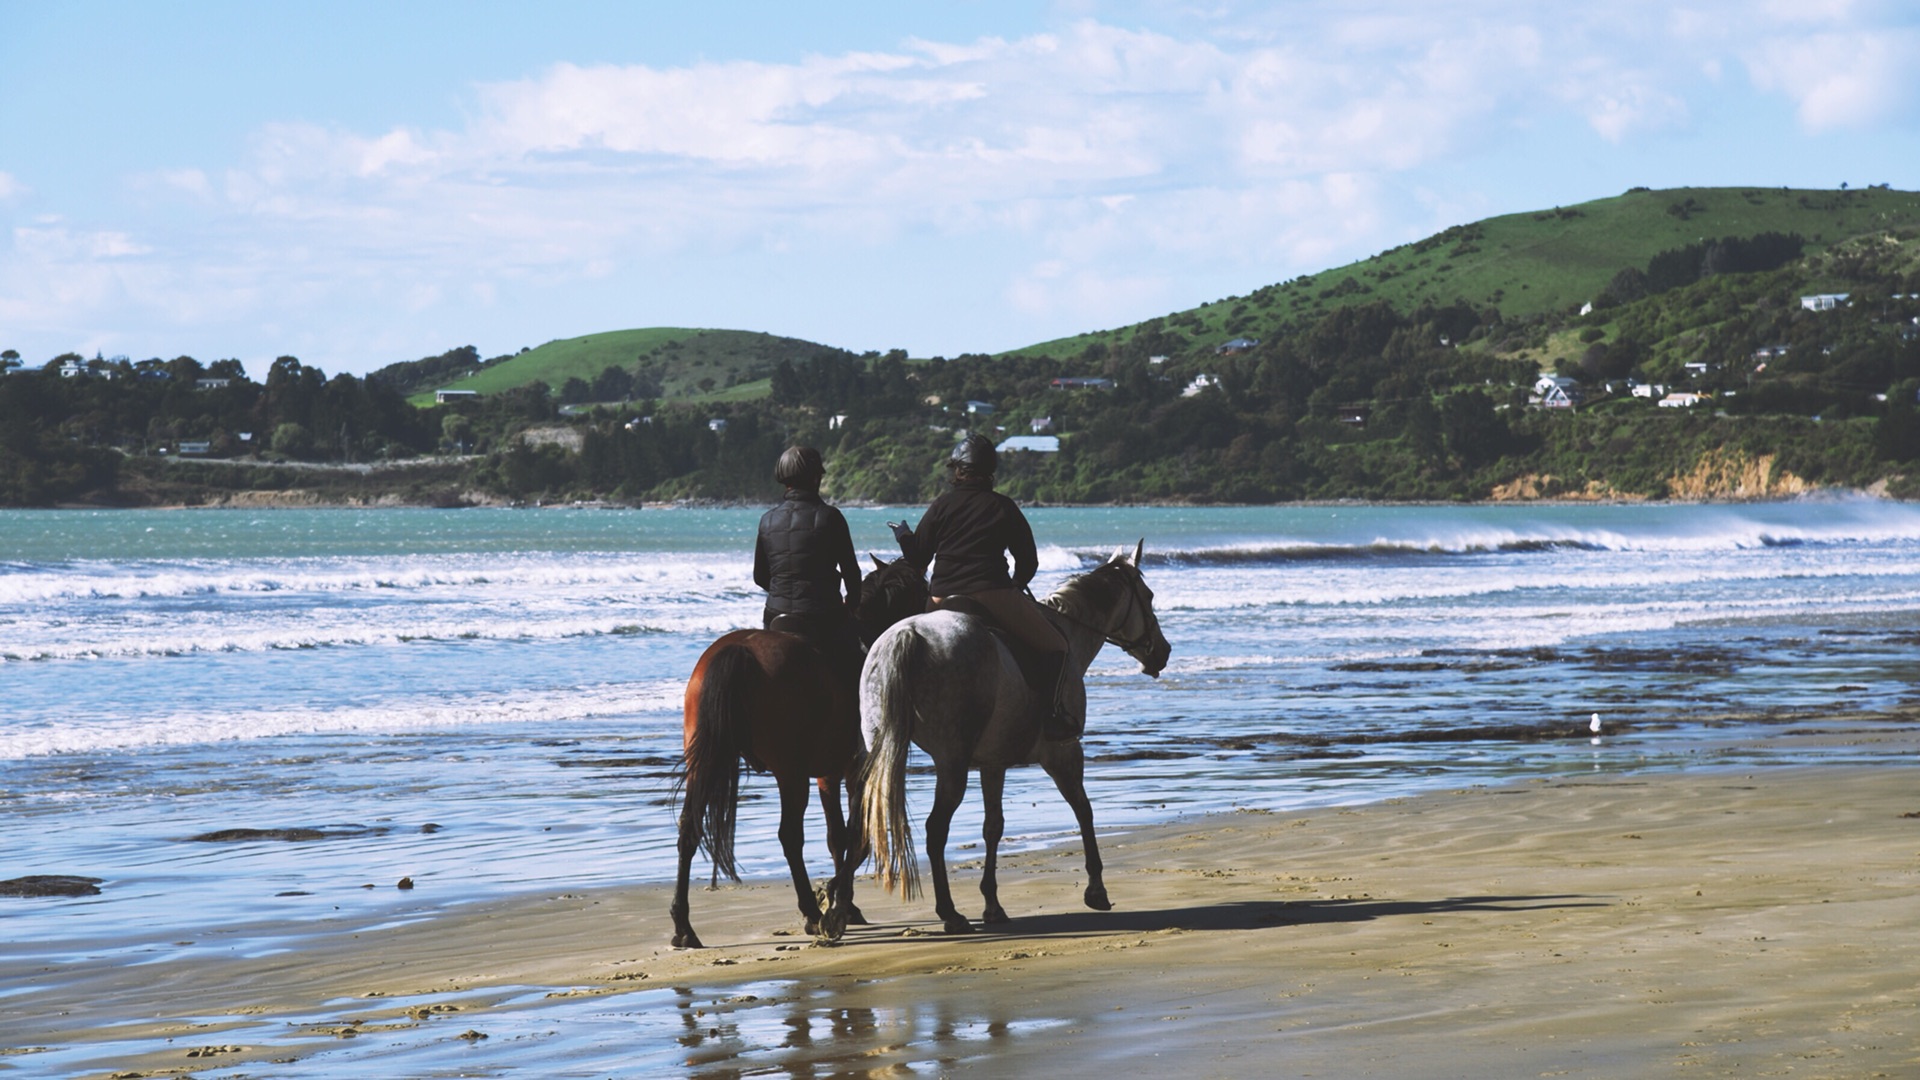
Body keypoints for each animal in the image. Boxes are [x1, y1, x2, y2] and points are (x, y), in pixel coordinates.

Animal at [672, 553, 925, 941]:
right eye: (922, 589)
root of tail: (739, 649)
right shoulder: (854, 769)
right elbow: (857, 837)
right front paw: (836, 900)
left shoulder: (827, 774)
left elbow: (838, 837)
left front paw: (845, 904)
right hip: (789, 773)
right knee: (790, 836)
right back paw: (810, 911)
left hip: (706, 760)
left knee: (689, 827)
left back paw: (683, 926)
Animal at [860, 541, 1167, 930]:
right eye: (1149, 596)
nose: (1162, 651)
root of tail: (909, 634)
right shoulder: (1063, 752)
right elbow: (1083, 809)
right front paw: (1096, 889)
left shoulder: (993, 763)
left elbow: (993, 826)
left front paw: (992, 903)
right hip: (952, 762)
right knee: (935, 829)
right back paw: (948, 912)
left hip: (881, 751)